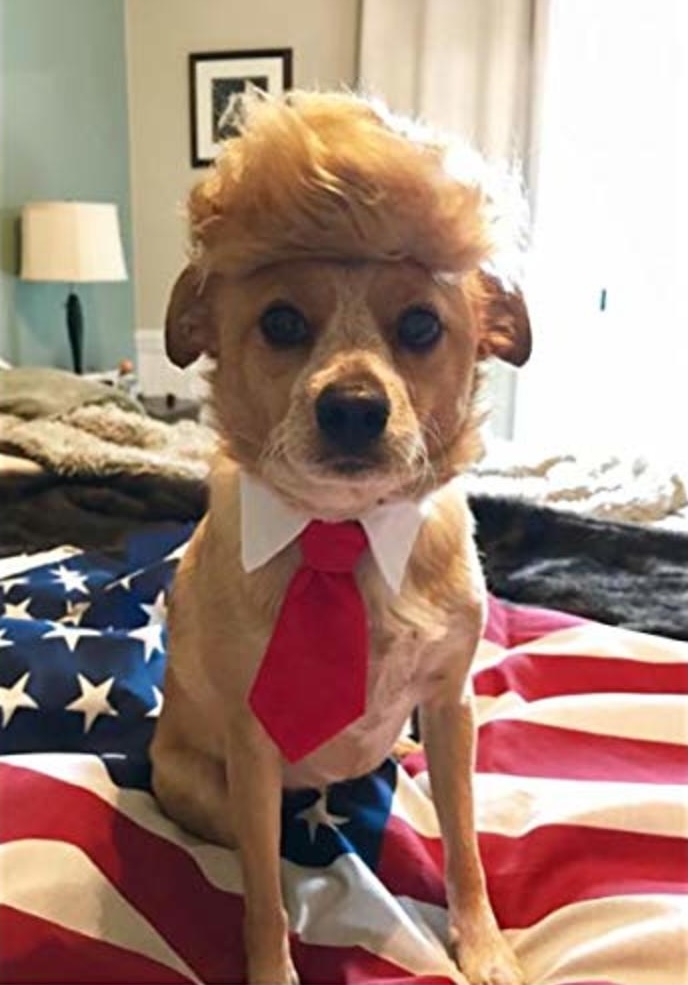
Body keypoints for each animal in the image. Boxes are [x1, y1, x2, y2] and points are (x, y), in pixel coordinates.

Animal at [153, 88, 532, 980]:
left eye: (422, 326)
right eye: (282, 321)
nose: (354, 407)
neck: (344, 528)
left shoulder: (453, 702)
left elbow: (467, 847)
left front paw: (484, 944)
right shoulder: (253, 749)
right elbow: (261, 897)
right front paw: (271, 967)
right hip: (200, 788)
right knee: (263, 856)